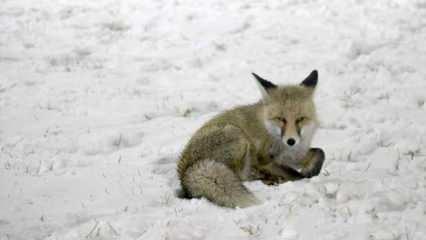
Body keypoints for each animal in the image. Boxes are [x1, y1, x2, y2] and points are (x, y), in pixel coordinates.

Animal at [176, 70, 326, 208]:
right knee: (242, 176)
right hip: (238, 135)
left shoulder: (294, 155)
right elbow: (295, 174)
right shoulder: (265, 160)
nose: (291, 141)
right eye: (280, 119)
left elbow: (320, 152)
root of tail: (185, 173)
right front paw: (302, 176)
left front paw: (311, 169)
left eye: (300, 119)